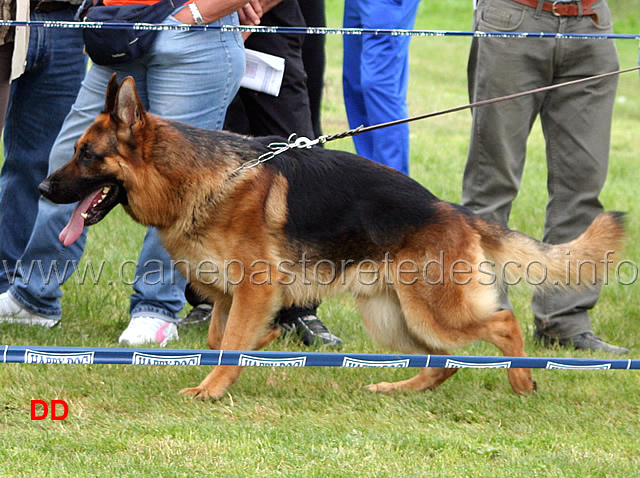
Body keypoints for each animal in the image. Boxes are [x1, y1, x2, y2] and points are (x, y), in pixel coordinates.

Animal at [37, 75, 624, 400]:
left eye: (86, 155)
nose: (42, 187)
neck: (199, 177)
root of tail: (452, 209)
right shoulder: (227, 296)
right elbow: (217, 339)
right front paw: (255, 349)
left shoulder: (254, 290)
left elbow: (227, 346)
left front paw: (211, 390)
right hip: (394, 318)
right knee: (443, 361)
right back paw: (398, 388)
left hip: (433, 310)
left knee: (502, 323)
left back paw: (522, 380)